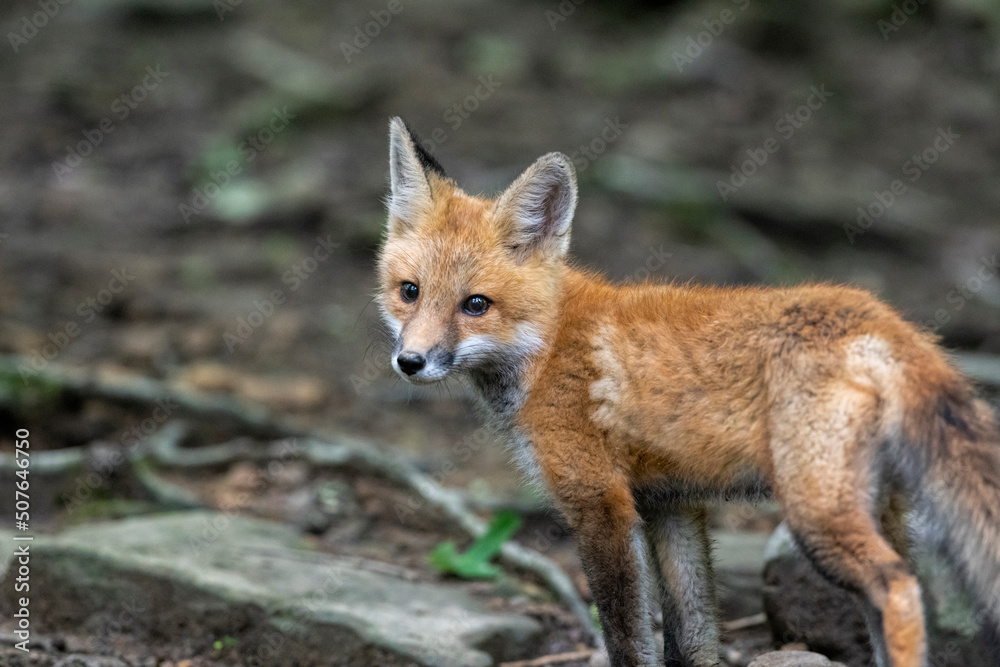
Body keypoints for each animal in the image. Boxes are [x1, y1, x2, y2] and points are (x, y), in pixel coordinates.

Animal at [376, 120, 1000, 667]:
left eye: (475, 304)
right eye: (410, 292)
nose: (411, 362)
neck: (548, 345)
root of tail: (883, 317)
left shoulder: (601, 504)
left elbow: (629, 637)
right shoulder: (672, 503)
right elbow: (691, 634)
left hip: (815, 514)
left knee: (897, 587)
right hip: (878, 508)